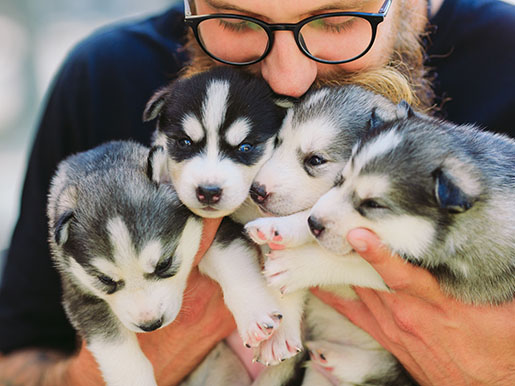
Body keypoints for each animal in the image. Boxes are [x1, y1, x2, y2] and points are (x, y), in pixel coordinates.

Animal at [47, 141, 256, 386]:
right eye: (105, 280)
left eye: (164, 264)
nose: (150, 324)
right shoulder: (80, 296)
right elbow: (115, 346)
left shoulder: (216, 227)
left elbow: (232, 259)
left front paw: (256, 313)